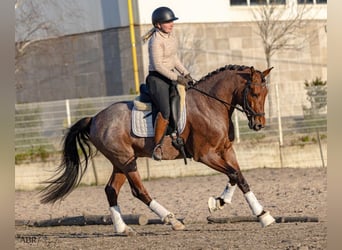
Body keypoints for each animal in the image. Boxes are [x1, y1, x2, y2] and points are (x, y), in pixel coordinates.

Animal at [40, 64, 276, 234]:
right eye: (254, 92)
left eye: (265, 93)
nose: (259, 125)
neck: (210, 104)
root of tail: (95, 118)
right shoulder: (205, 155)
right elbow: (234, 174)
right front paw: (248, 211)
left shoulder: (226, 150)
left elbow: (239, 176)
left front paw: (231, 205)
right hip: (126, 160)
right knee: (139, 191)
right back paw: (171, 220)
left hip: (121, 162)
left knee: (111, 190)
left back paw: (123, 228)